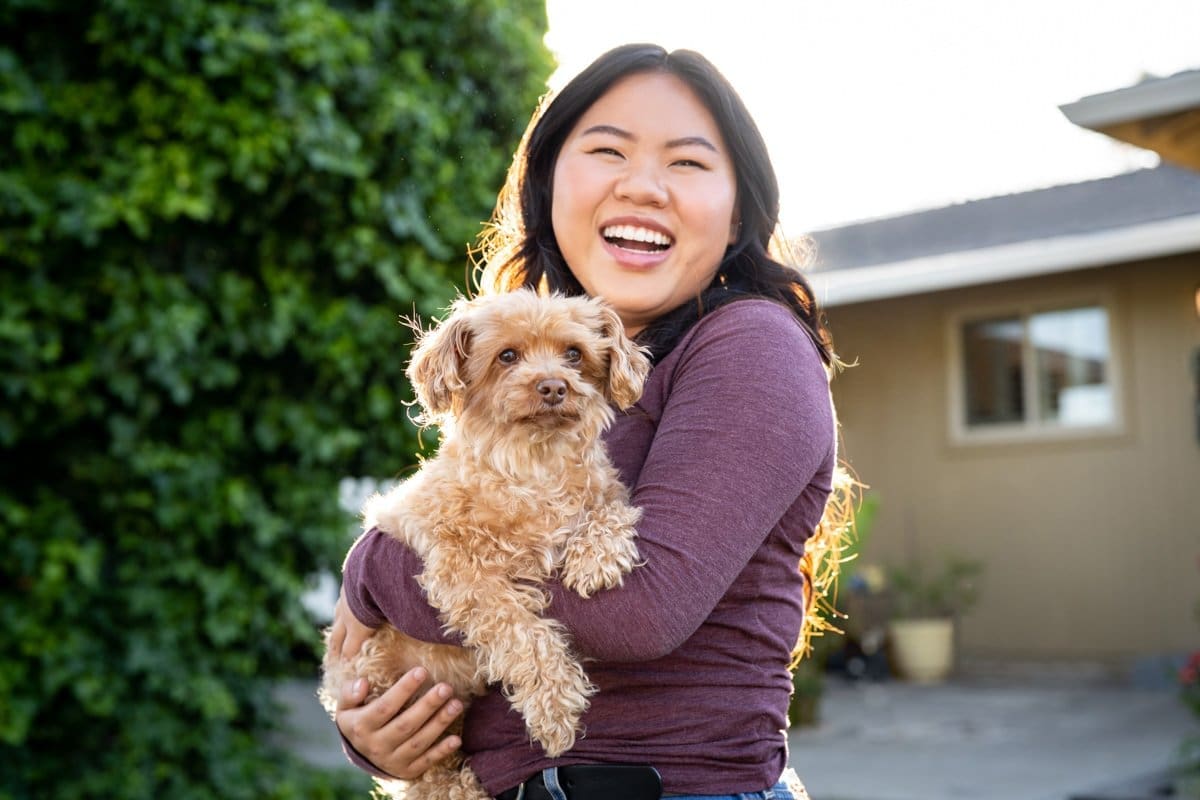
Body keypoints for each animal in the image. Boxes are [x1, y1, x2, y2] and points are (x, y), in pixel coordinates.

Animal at [321, 289, 648, 800]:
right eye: (507, 356)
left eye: (574, 353)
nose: (553, 386)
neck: (535, 466)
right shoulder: (459, 571)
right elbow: (521, 631)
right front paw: (555, 710)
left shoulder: (604, 494)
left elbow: (611, 511)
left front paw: (596, 557)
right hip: (388, 686)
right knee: (427, 778)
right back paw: (462, 789)